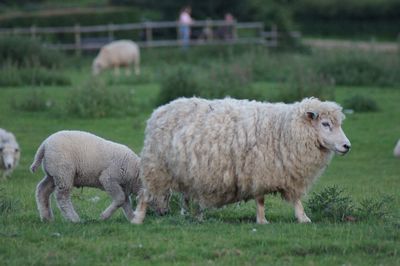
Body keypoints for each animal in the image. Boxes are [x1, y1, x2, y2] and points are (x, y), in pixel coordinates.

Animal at [132, 96, 350, 223]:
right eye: (325, 124)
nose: (347, 146)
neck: (283, 128)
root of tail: (159, 111)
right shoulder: (259, 170)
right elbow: (261, 199)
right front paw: (263, 221)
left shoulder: (285, 173)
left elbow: (295, 199)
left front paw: (303, 218)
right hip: (156, 167)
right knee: (145, 194)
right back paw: (138, 218)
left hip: (184, 172)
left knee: (187, 196)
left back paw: (195, 216)